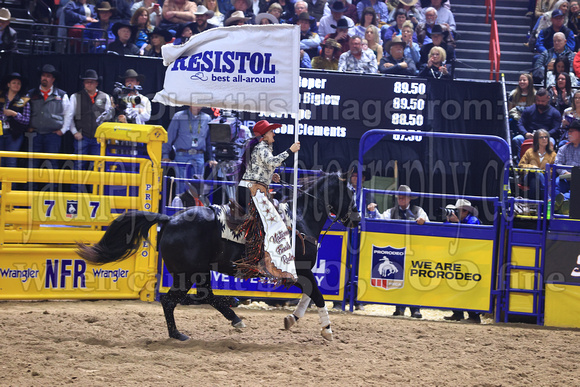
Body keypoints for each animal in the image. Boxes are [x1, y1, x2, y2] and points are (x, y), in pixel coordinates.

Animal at [77, 171, 358, 342]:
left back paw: (229, 315)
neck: (299, 220)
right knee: (172, 300)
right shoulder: (300, 271)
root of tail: (168, 219)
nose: (356, 219)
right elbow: (317, 295)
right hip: (188, 274)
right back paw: (184, 331)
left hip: (198, 273)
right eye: (351, 193)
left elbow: (309, 295)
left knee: (199, 296)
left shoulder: (301, 272)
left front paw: (291, 319)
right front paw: (327, 330)